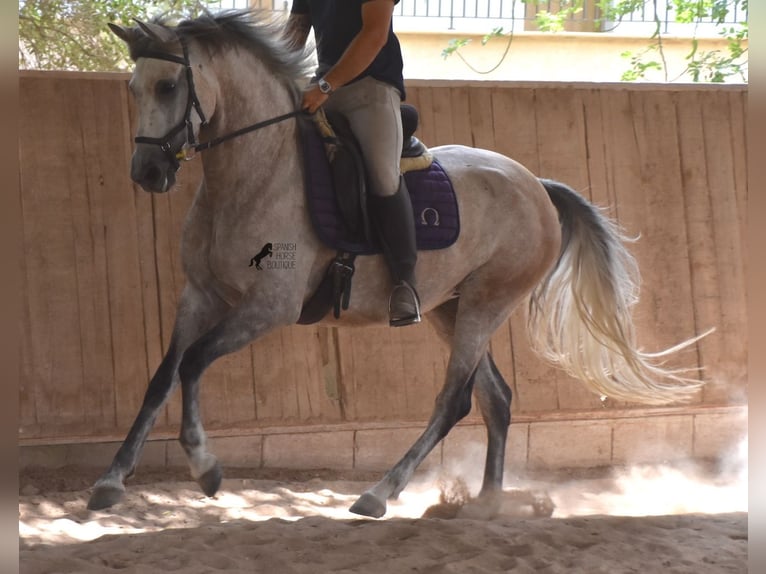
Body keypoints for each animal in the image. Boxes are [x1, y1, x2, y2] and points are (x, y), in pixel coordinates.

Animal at [88, 11, 704, 520]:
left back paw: (381, 493)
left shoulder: (269, 306)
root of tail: (536, 185)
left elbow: (194, 364)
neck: (254, 172)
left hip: (486, 303)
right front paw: (111, 482)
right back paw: (485, 505)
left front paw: (206, 468)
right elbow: (162, 377)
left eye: (169, 86)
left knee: (455, 400)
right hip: (450, 308)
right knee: (496, 399)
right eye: (134, 87)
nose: (146, 172)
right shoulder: (199, 295)